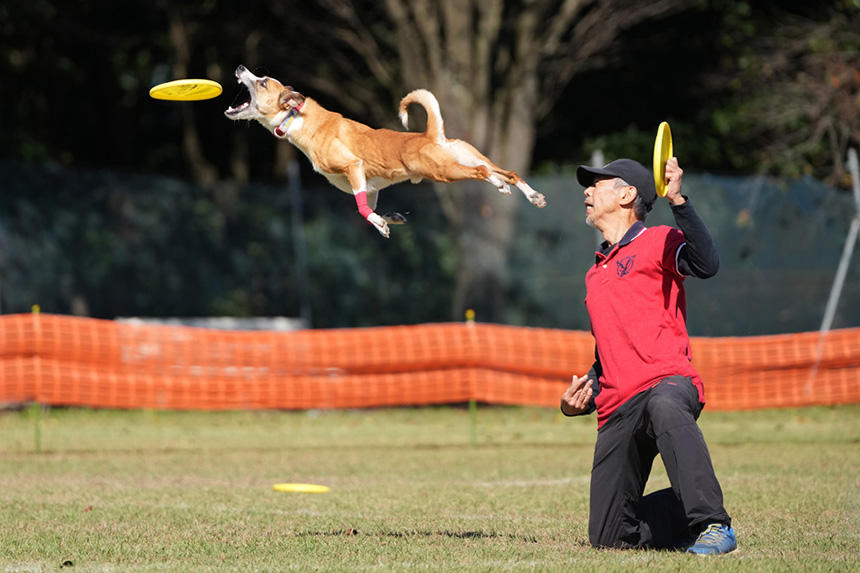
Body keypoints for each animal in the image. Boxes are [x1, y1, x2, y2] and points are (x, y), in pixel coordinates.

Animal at [222, 65, 544, 237]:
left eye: (263, 81)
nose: (240, 68)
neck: (296, 117)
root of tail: (431, 134)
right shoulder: (370, 186)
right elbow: (372, 207)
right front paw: (390, 219)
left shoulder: (353, 167)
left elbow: (362, 210)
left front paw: (380, 223)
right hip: (465, 154)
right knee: (507, 171)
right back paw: (529, 194)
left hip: (444, 171)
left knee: (482, 172)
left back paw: (498, 184)